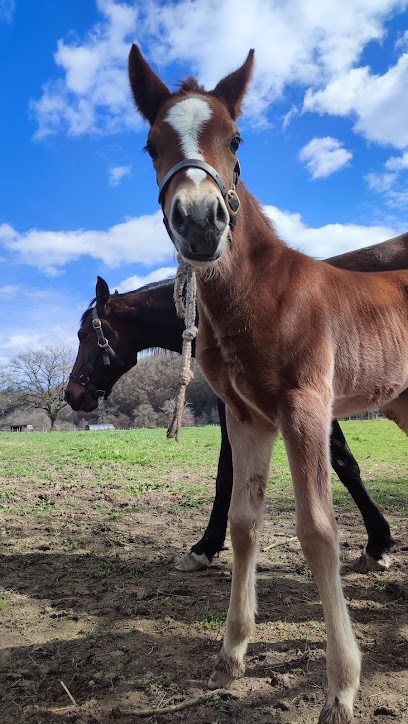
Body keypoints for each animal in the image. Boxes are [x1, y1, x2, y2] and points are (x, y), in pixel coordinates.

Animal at [128, 46, 408, 723]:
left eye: (235, 137)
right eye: (151, 144)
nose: (201, 224)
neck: (266, 294)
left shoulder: (305, 407)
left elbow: (317, 530)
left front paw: (342, 685)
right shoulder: (247, 416)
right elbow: (243, 523)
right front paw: (231, 655)